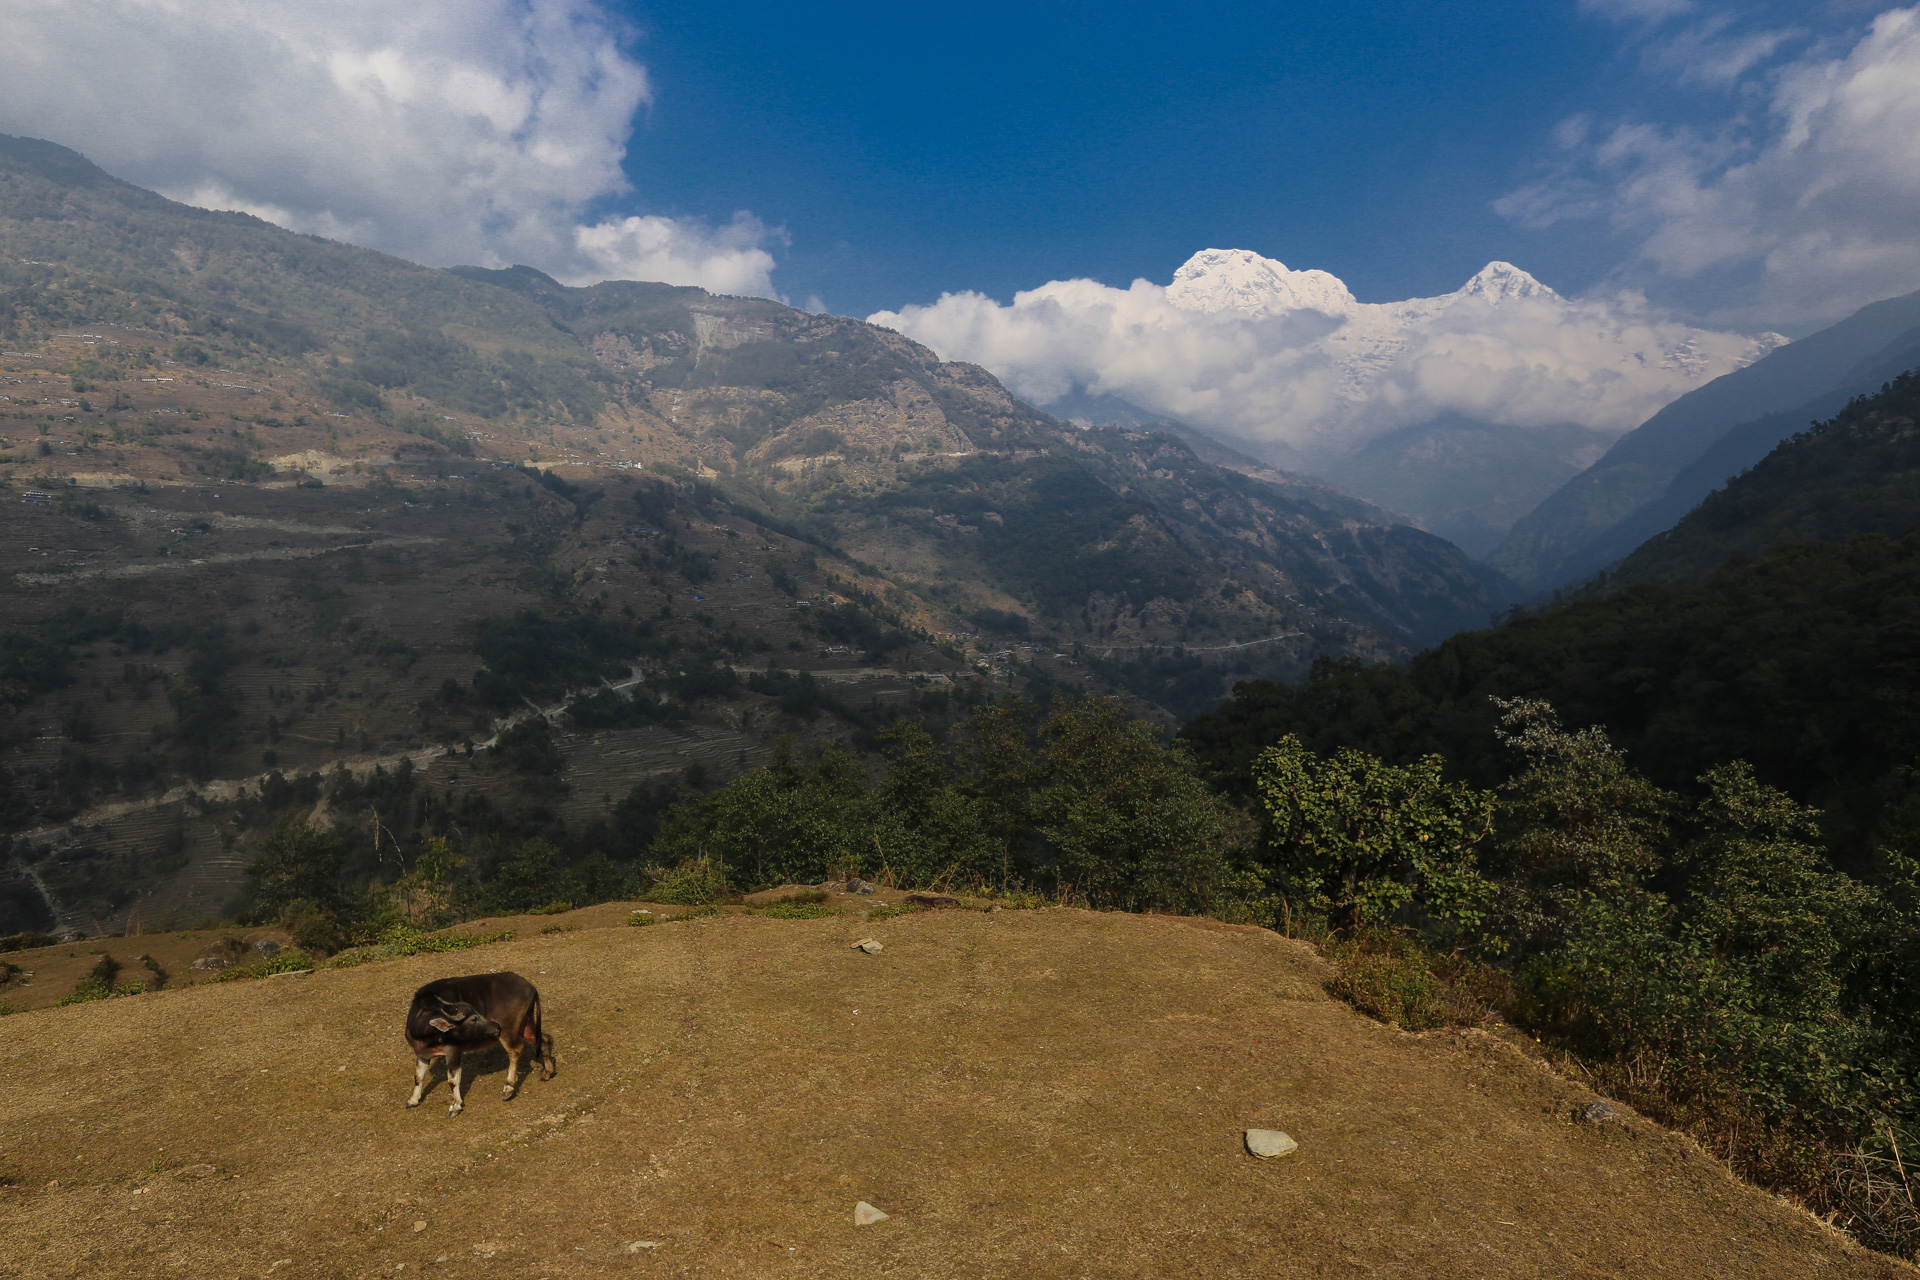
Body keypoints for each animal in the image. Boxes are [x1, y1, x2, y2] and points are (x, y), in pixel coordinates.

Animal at [405, 974, 556, 1113]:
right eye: (473, 1018)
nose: (496, 1027)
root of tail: (531, 987)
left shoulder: (453, 1051)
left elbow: (453, 1080)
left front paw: (455, 1106)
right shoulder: (422, 1055)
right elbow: (418, 1076)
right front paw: (412, 1100)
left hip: (509, 1028)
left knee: (516, 1049)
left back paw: (508, 1088)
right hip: (525, 1024)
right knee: (544, 1039)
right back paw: (548, 1072)